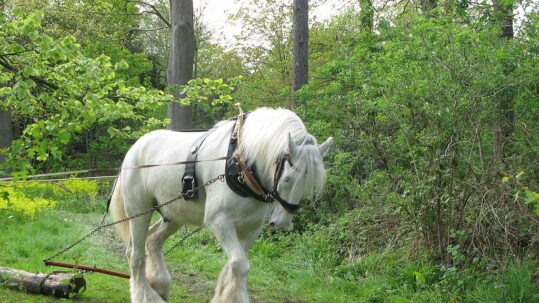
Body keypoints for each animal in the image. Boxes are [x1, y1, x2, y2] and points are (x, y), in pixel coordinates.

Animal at [109, 108, 334, 302]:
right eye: (287, 178)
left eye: (308, 185)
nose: (282, 223)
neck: (240, 162)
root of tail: (135, 148)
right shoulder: (219, 221)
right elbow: (240, 265)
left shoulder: (251, 229)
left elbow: (233, 265)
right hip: (139, 210)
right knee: (135, 254)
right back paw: (145, 295)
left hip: (174, 213)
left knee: (153, 241)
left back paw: (160, 285)